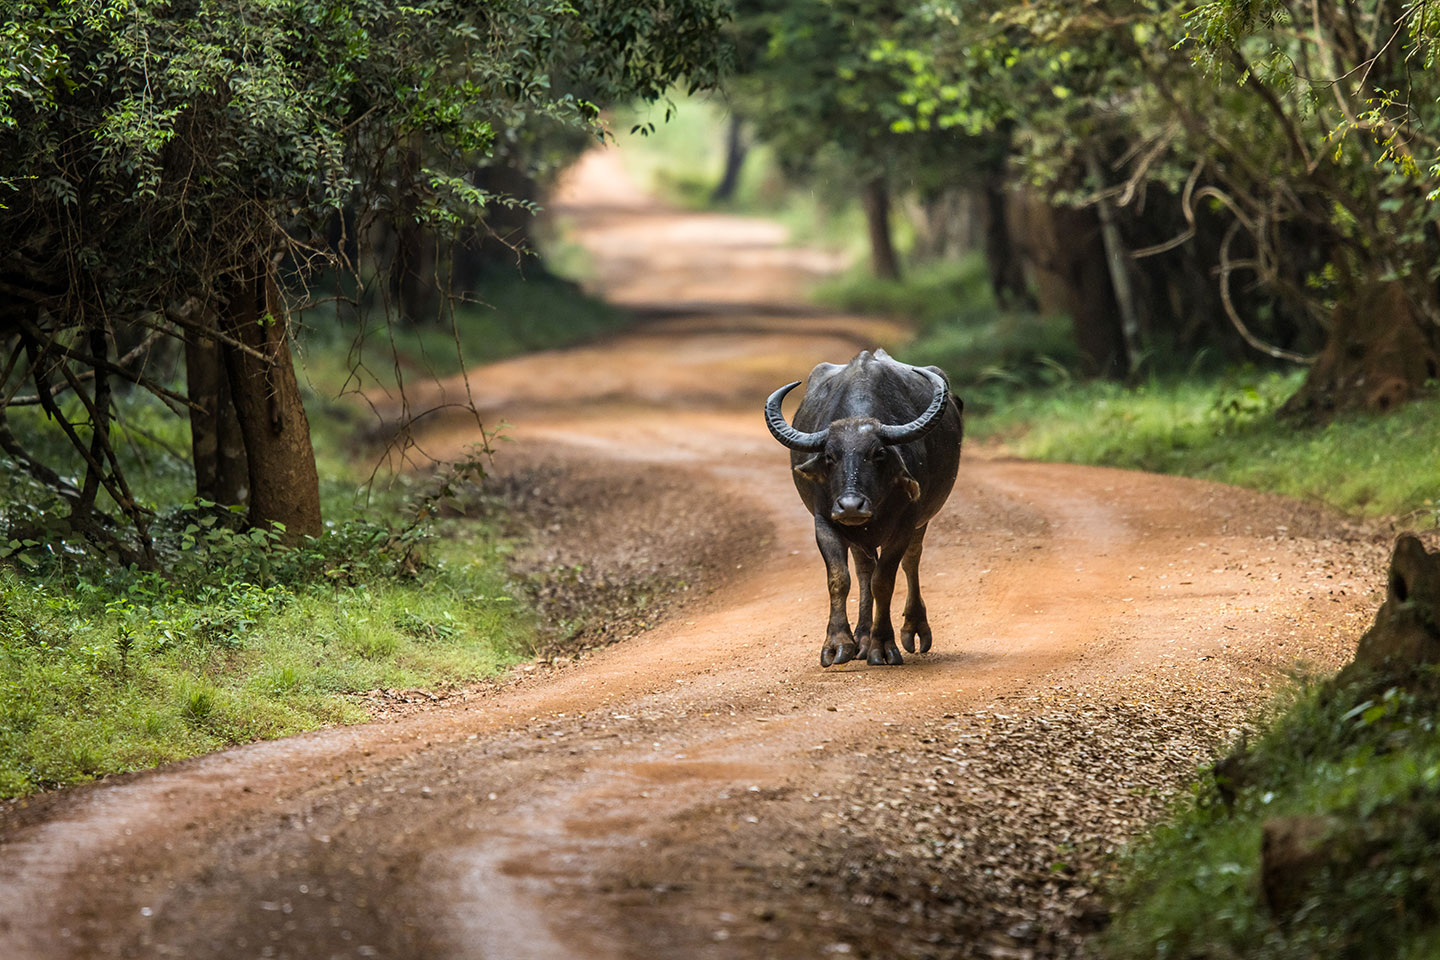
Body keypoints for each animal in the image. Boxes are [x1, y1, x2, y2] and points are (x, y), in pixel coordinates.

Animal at [765, 349, 963, 667]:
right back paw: (862, 638)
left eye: (878, 453)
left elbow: (884, 581)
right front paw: (838, 644)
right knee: (863, 571)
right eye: (829, 456)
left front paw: (882, 645)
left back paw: (911, 629)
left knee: (910, 561)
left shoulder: (906, 523)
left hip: (921, 522)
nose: (850, 507)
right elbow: (839, 578)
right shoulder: (824, 521)